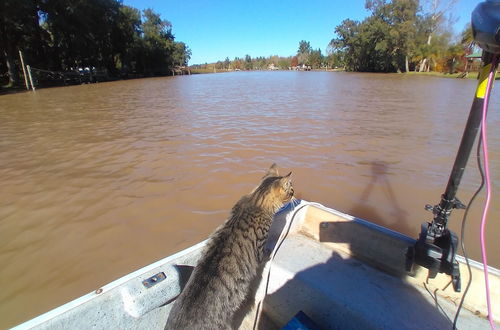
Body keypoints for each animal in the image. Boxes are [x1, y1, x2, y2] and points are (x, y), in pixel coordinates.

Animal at [166, 164, 294, 330]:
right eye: (291, 190)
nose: (295, 195)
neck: (256, 200)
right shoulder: (260, 249)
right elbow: (264, 253)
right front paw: (269, 252)